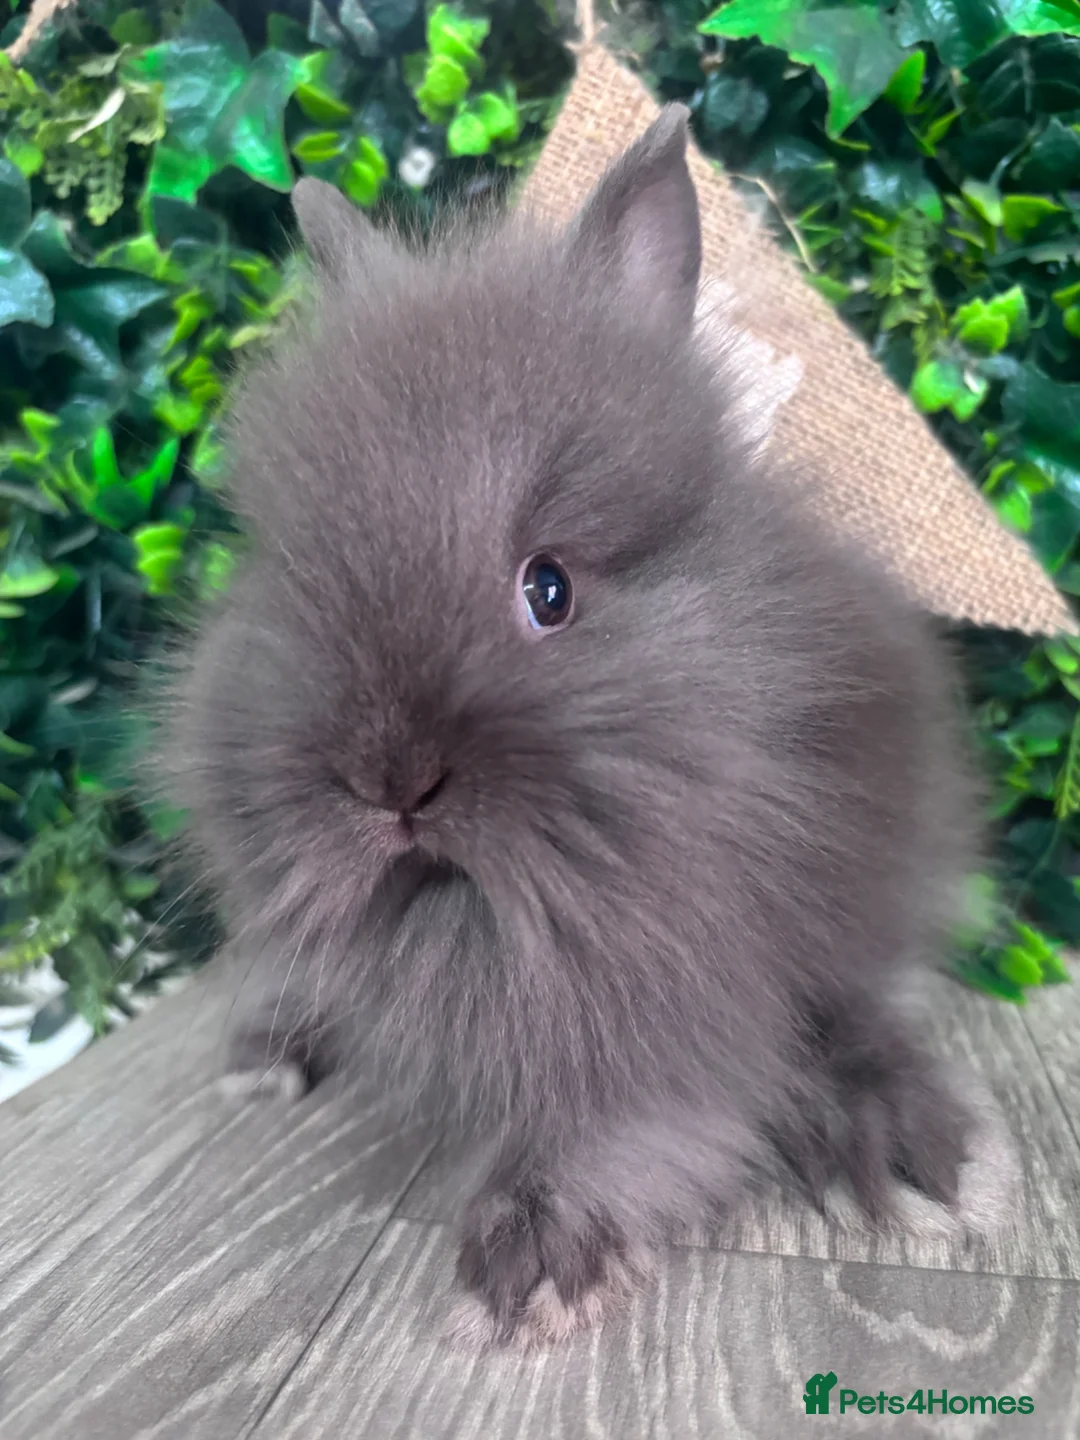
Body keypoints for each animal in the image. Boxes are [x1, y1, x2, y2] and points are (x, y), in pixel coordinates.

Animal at [161, 104, 1017, 1351]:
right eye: (291, 576)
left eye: (550, 589)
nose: (389, 782)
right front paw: (534, 1264)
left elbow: (834, 1034)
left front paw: (923, 1158)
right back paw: (262, 1061)